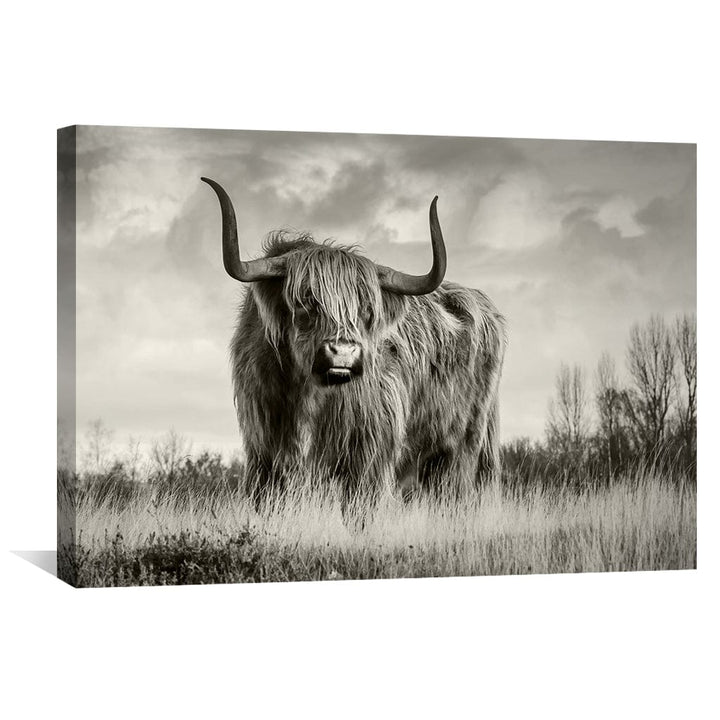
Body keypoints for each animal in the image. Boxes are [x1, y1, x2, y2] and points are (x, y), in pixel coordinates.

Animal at [202, 177, 507, 516]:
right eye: (306, 300)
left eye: (367, 309)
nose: (344, 353)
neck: (308, 395)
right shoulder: (264, 453)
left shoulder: (369, 455)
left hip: (462, 449)